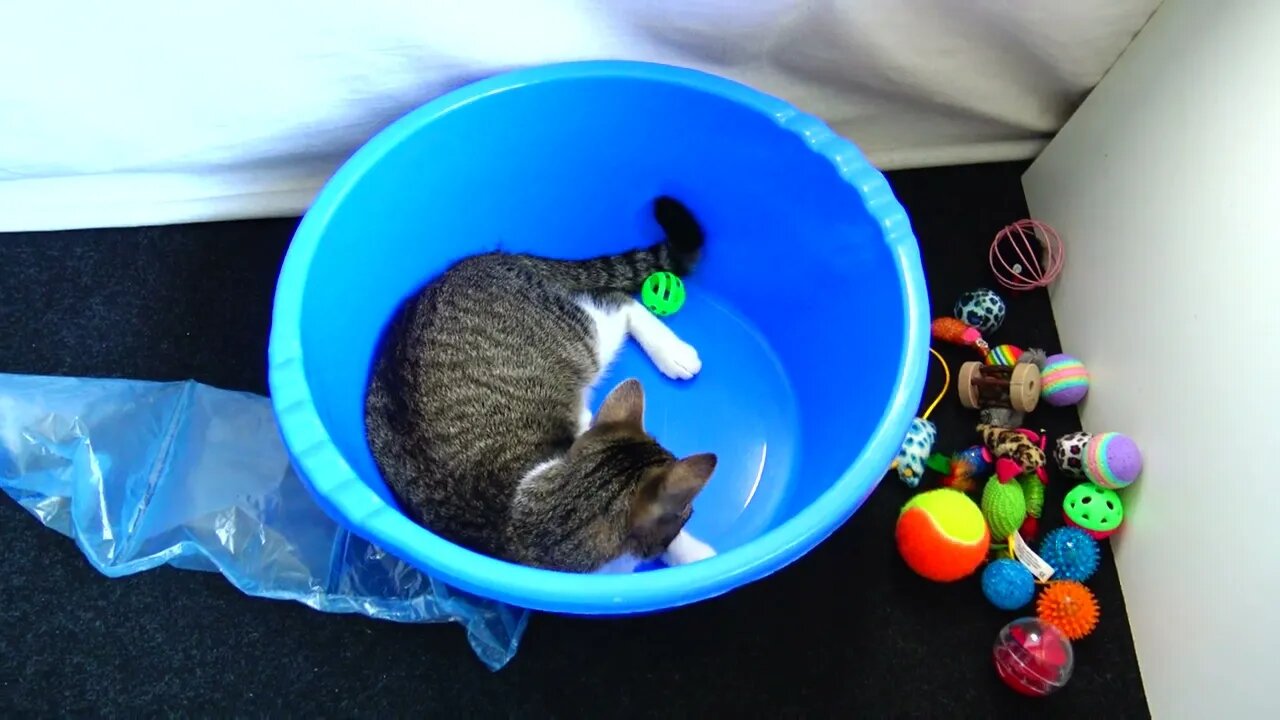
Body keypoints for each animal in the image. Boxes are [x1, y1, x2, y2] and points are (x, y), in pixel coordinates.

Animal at [366, 196, 721, 571]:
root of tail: (480, 261)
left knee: (616, 298)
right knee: (615, 298)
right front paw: (692, 551)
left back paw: (672, 352)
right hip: (586, 341)